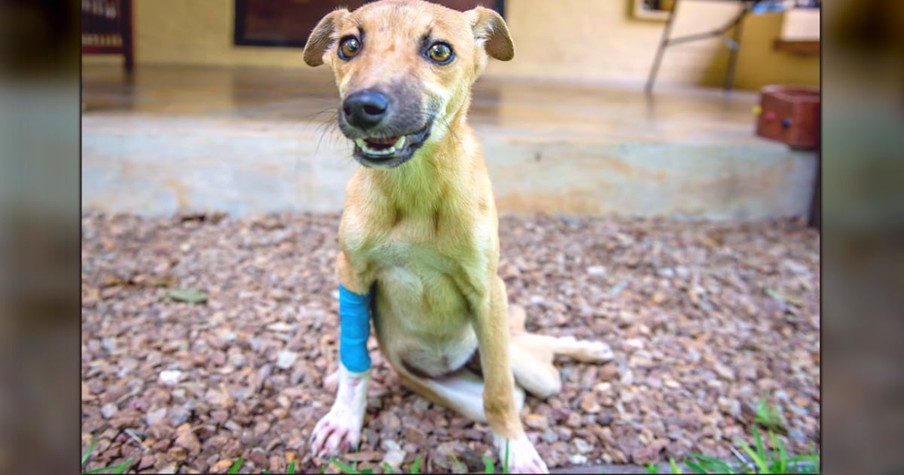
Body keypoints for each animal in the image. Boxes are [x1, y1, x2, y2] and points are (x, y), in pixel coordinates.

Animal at [306, 2, 616, 472]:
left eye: (439, 50)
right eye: (349, 45)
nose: (361, 107)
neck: (414, 190)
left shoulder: (487, 290)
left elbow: (500, 394)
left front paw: (516, 450)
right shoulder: (352, 273)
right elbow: (354, 364)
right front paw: (343, 419)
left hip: (526, 363)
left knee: (530, 359)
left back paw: (586, 348)